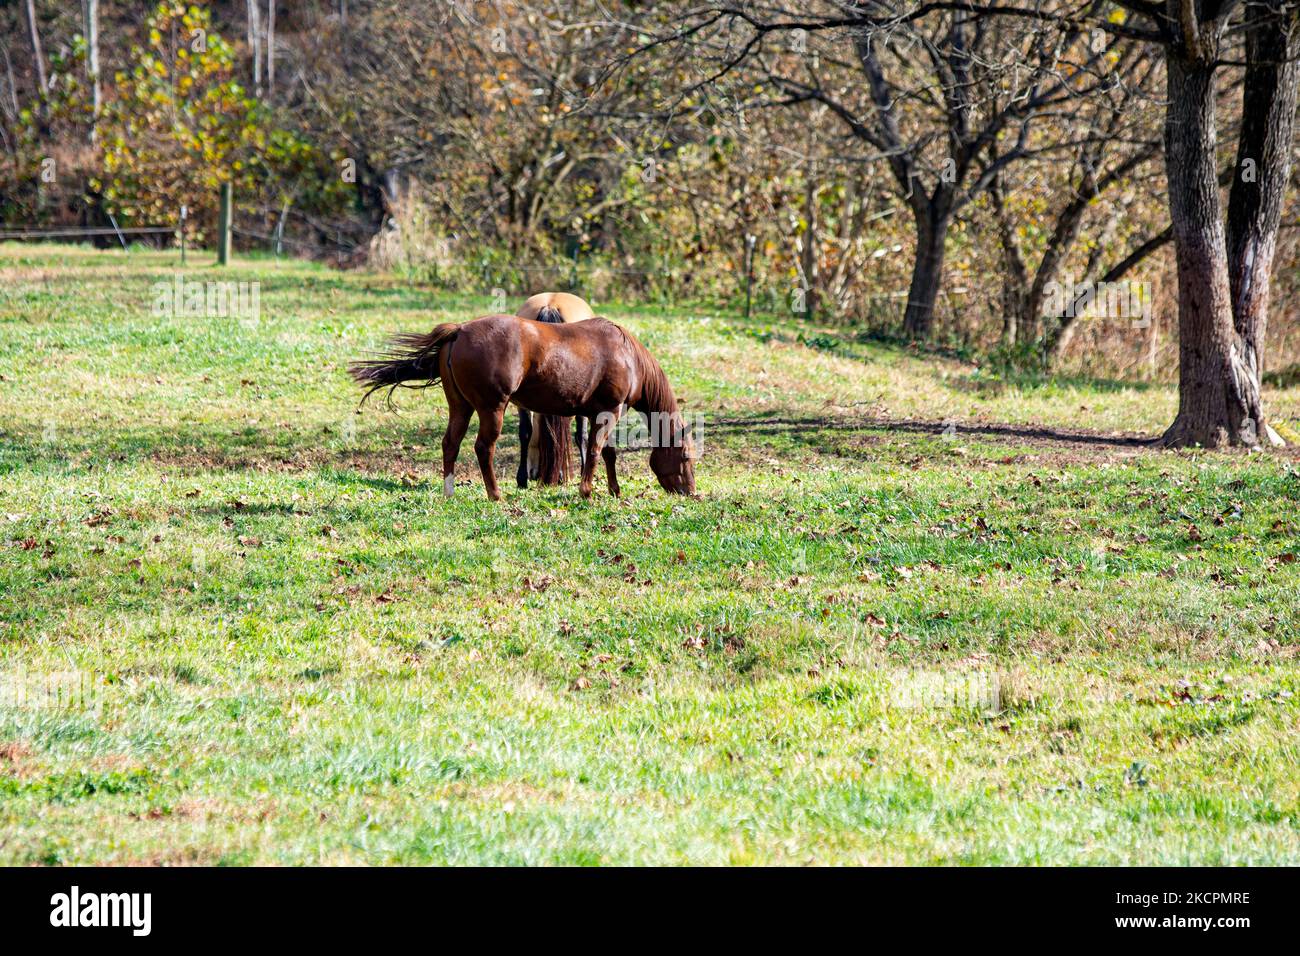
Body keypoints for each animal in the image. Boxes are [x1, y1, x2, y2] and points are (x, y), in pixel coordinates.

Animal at [343, 317, 691, 504]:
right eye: (686, 457)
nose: (690, 491)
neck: (626, 354)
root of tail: (460, 330)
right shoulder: (609, 412)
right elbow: (595, 452)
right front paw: (587, 492)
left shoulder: (598, 413)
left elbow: (607, 453)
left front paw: (613, 491)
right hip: (491, 409)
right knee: (483, 448)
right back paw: (495, 494)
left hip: (461, 408)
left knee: (450, 444)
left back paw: (450, 492)